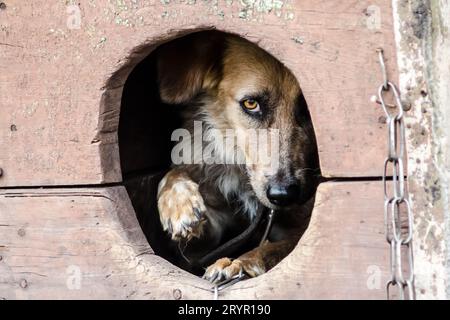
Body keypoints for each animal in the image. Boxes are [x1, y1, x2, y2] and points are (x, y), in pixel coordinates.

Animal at [155, 30, 320, 282]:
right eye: (251, 104)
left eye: (308, 109)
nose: (282, 195)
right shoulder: (199, 249)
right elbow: (173, 173)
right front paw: (179, 205)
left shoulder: (301, 228)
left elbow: (277, 248)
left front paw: (240, 263)